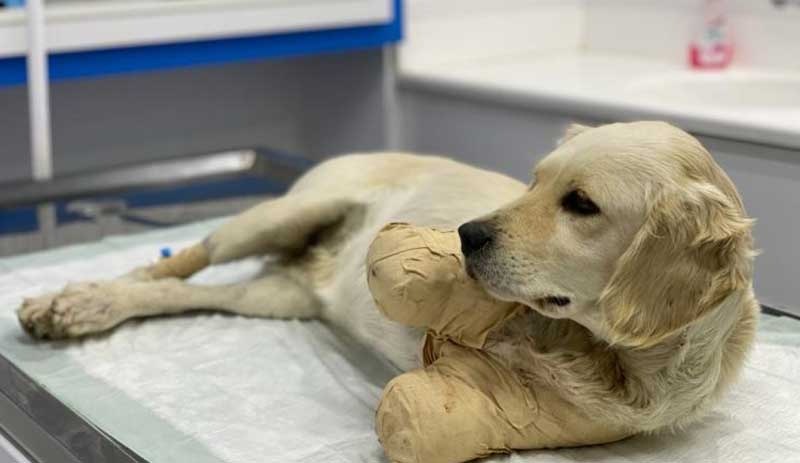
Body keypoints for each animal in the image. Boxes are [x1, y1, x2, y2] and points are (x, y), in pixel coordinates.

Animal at [17, 122, 756, 456]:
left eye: (580, 204)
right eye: (533, 181)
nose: (465, 235)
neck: (596, 350)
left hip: (276, 294)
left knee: (180, 294)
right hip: (277, 216)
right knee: (169, 266)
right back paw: (73, 299)